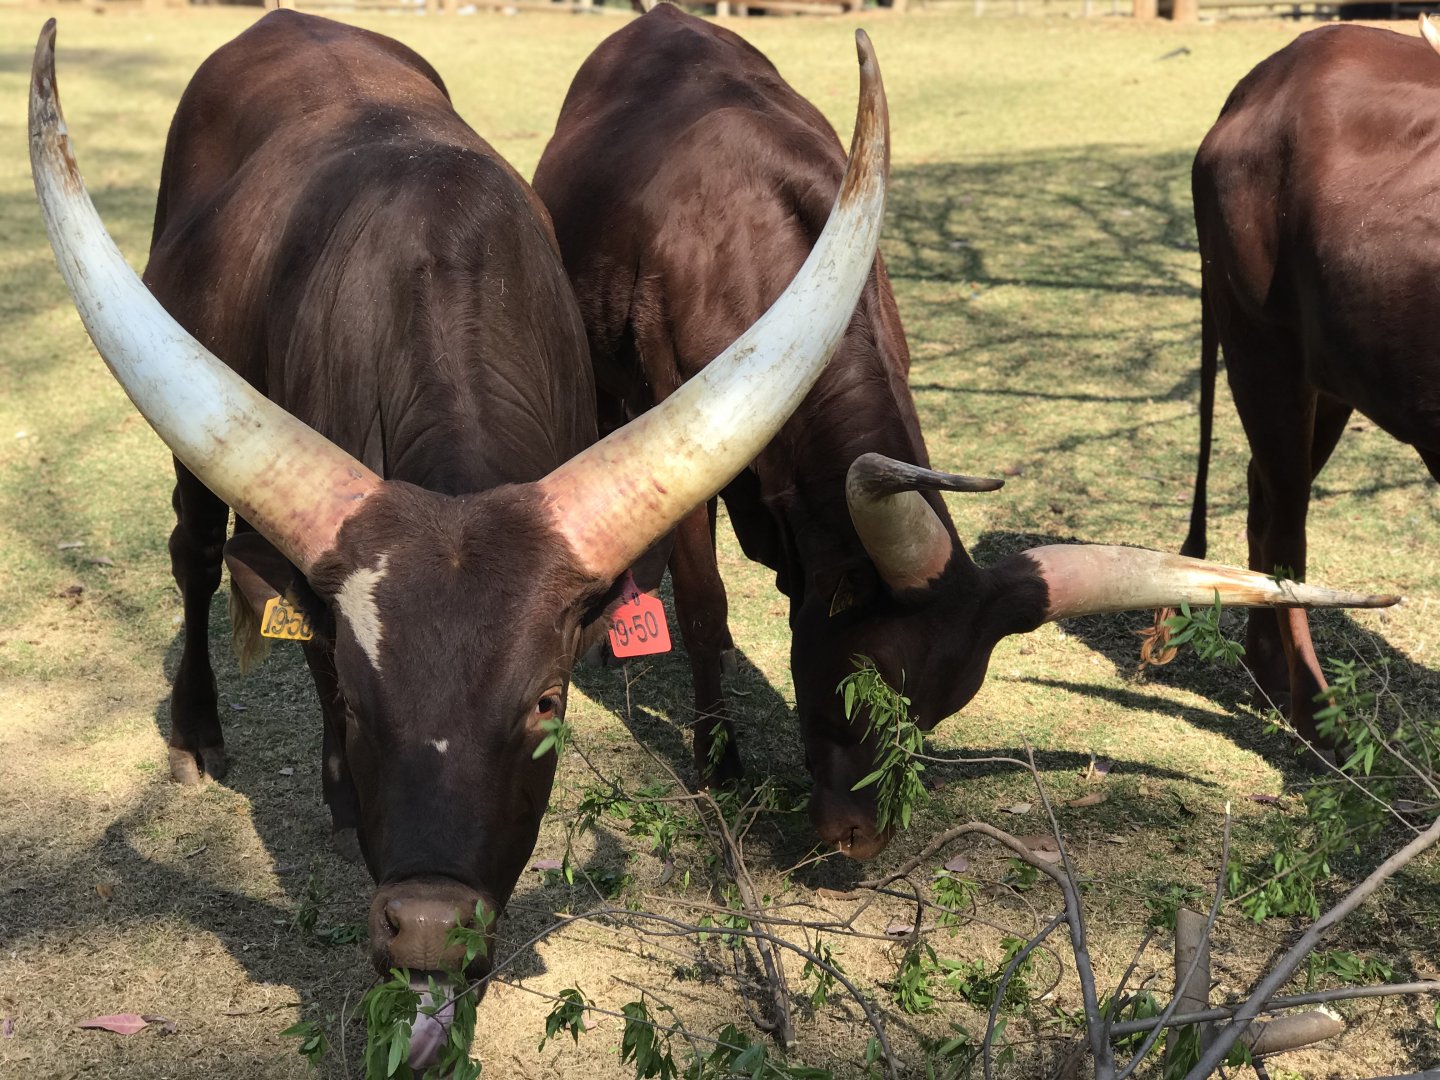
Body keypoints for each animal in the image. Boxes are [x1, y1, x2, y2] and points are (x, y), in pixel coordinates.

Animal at [29, 10, 888, 991]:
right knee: (196, 555)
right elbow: (308, 652)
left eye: (547, 703)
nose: (430, 932)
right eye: (362, 706)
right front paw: (337, 793)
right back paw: (196, 736)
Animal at [532, 5, 1399, 861]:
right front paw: (717, 761)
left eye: (935, 709)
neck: (751, 240)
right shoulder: (684, 412)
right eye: (855, 689)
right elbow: (705, 603)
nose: (858, 840)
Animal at [1153, 18, 1440, 748]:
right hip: (1260, 337)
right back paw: (1317, 713)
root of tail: (1256, 82)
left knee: (1265, 494)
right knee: (1286, 517)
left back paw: (1269, 670)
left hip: (1335, 371)